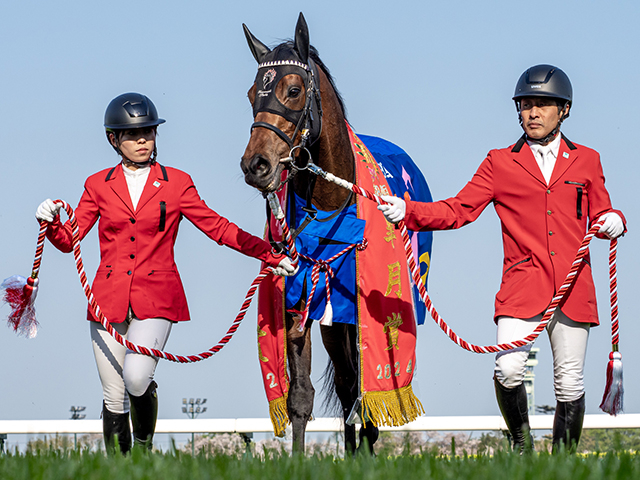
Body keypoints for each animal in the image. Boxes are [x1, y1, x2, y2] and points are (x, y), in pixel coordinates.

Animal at [240, 12, 380, 454]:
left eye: (294, 89)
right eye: (252, 94)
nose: (256, 165)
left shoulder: (358, 310)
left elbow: (364, 387)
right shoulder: (298, 302)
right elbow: (300, 394)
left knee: (354, 382)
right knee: (346, 382)